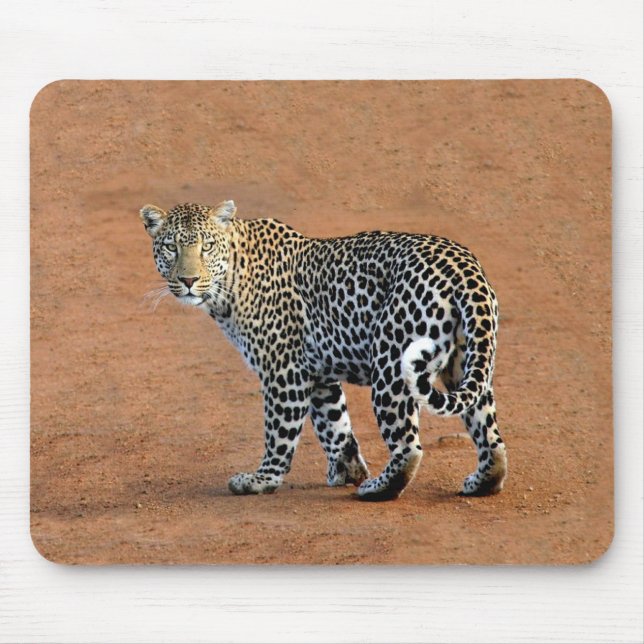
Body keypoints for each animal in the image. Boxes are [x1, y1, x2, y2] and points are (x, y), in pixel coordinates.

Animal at [140, 199, 507, 501]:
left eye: (207, 247)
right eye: (171, 247)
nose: (188, 280)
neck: (230, 281)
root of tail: (464, 267)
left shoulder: (283, 370)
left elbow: (279, 431)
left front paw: (262, 480)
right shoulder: (317, 374)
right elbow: (335, 426)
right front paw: (347, 470)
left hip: (391, 364)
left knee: (408, 447)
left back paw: (377, 489)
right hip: (466, 361)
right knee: (490, 434)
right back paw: (482, 482)